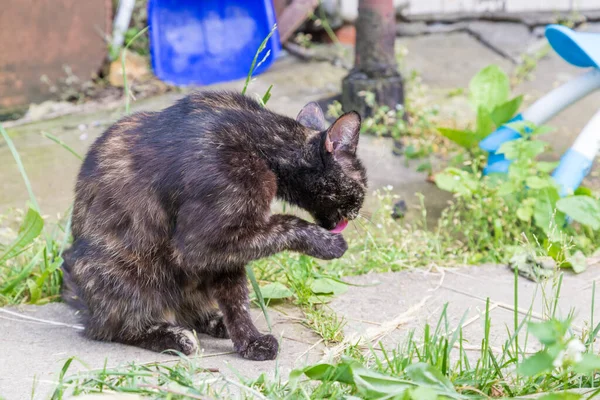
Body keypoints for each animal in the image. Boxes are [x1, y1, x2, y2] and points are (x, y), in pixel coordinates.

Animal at [63, 91, 368, 362]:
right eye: (362, 184)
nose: (359, 210)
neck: (262, 144)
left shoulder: (224, 253)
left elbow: (236, 299)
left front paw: (248, 341)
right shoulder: (203, 243)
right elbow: (286, 224)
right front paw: (328, 244)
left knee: (191, 310)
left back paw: (215, 323)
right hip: (124, 274)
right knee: (118, 329)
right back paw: (174, 338)